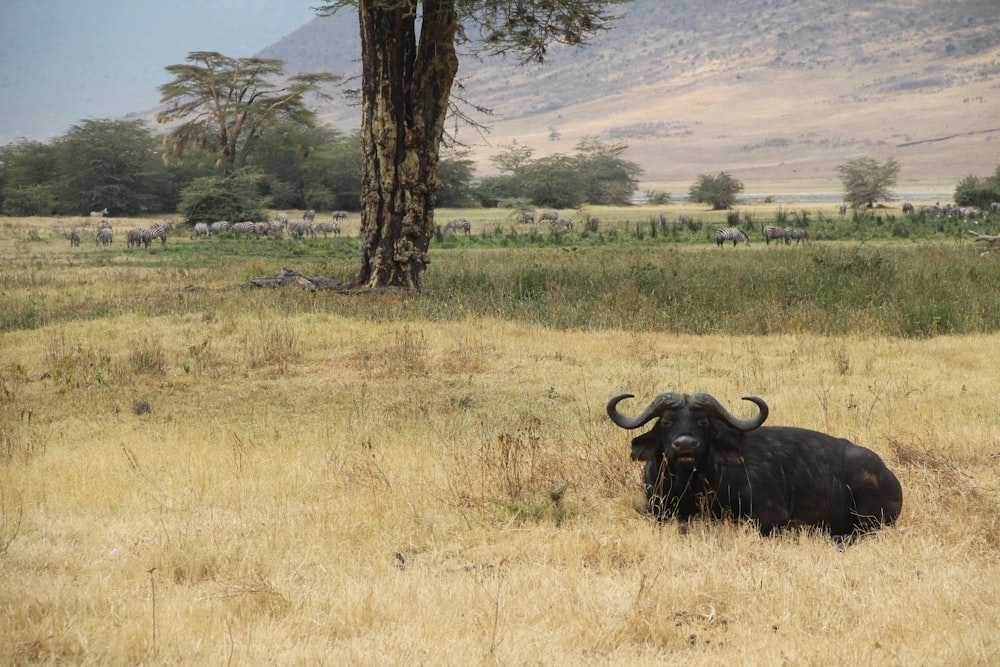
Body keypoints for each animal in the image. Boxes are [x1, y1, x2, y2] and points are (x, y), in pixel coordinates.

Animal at [604, 394, 904, 540]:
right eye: (667, 421)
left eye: (703, 421)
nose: (685, 445)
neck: (690, 485)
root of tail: (888, 476)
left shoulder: (768, 514)